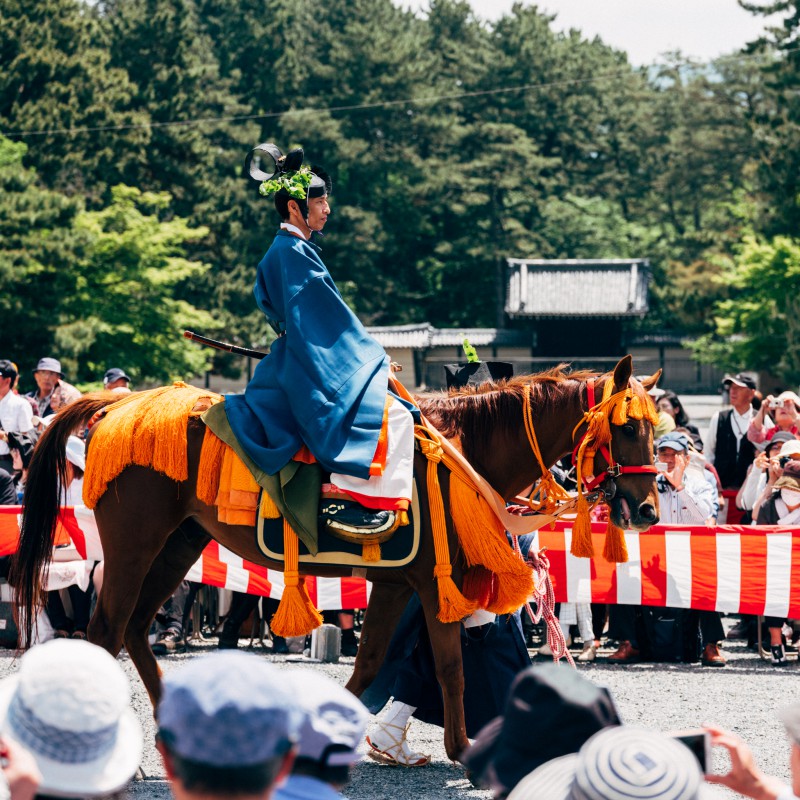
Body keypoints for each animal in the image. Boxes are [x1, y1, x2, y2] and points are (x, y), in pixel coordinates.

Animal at [12, 356, 660, 764]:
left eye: (657, 429)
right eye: (628, 427)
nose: (649, 508)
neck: (463, 453)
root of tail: (115, 409)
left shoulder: (400, 582)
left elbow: (371, 663)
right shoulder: (435, 581)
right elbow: (450, 667)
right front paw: (463, 750)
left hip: (181, 540)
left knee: (137, 628)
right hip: (134, 541)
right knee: (104, 631)